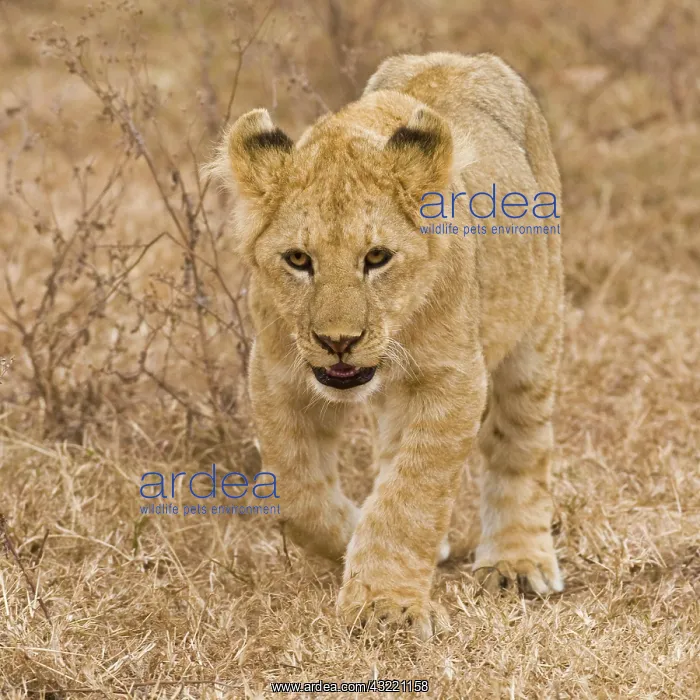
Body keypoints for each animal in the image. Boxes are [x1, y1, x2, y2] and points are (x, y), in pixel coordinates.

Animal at [208, 52, 564, 639]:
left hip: (535, 331)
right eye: (298, 260)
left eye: (377, 258)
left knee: (521, 442)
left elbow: (412, 495)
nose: (338, 342)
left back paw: (518, 561)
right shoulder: (276, 374)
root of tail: (458, 56)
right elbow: (295, 493)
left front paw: (385, 605)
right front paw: (354, 536)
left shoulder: (453, 379)